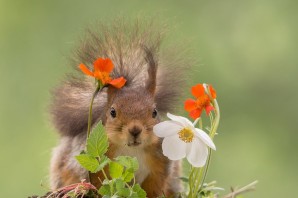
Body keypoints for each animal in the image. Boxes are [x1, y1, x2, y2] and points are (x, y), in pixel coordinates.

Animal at [50, 19, 192, 198]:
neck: (130, 151)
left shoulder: (160, 165)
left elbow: (153, 188)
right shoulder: (94, 166)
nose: (135, 130)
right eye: (112, 112)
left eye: (154, 112)